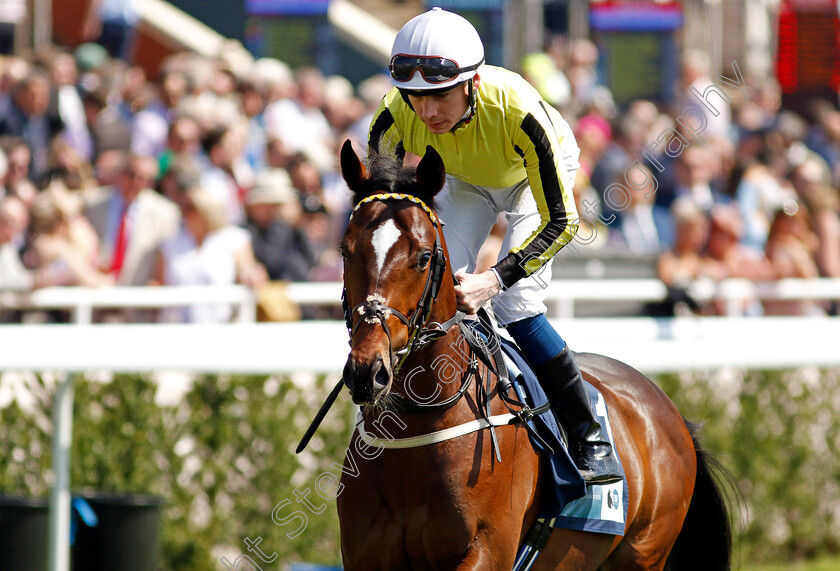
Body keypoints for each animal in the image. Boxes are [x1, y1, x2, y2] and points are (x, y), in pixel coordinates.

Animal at [334, 140, 728, 571]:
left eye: (423, 257)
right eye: (345, 250)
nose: (367, 371)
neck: (416, 424)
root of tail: (671, 414)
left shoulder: (488, 550)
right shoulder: (364, 557)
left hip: (645, 553)